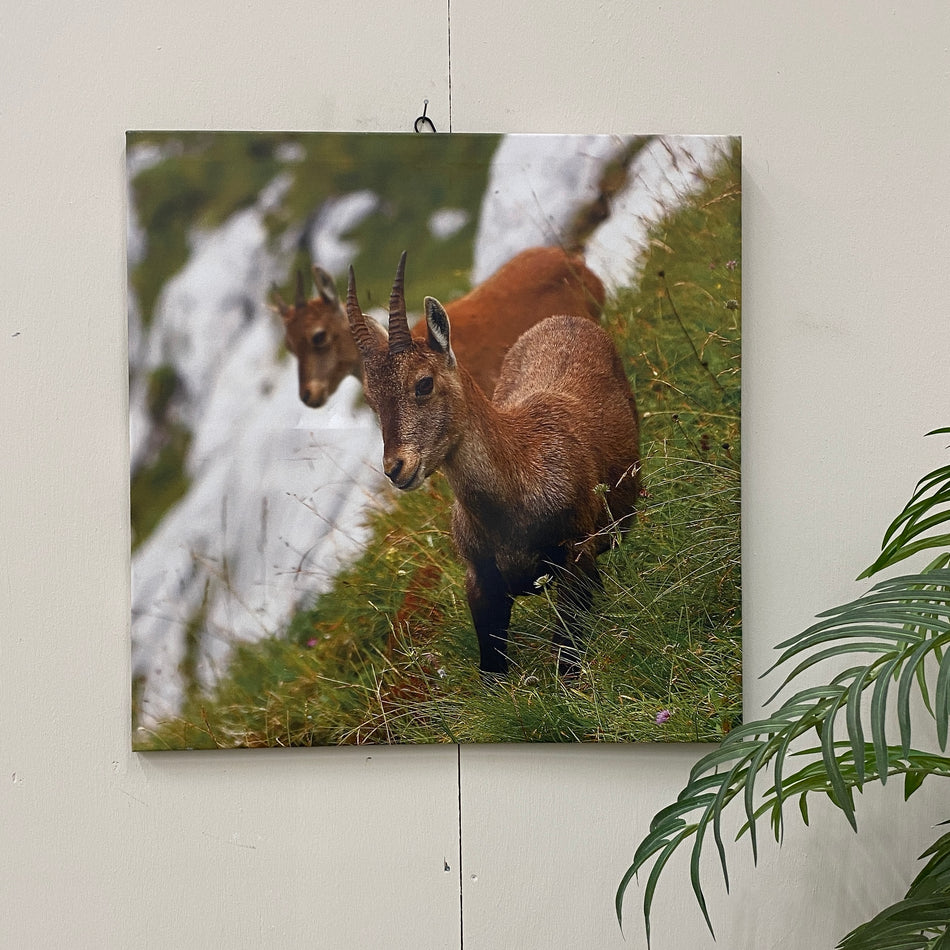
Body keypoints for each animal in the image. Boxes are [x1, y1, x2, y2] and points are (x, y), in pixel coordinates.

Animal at [346, 252, 641, 677]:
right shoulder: (482, 585)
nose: (396, 467)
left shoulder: (576, 557)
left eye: (423, 383)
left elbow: (566, 657)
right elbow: (491, 670)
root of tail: (562, 320)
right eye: (372, 400)